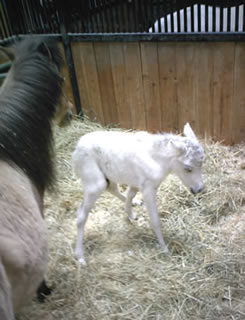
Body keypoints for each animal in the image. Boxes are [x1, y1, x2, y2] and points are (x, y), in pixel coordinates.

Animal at [72, 122, 205, 264]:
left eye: (202, 163)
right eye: (188, 169)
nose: (198, 189)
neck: (159, 160)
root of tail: (76, 148)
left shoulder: (137, 182)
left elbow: (130, 194)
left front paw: (130, 213)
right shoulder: (148, 188)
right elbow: (155, 220)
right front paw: (164, 248)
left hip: (108, 174)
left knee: (112, 188)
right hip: (94, 181)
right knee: (81, 214)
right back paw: (80, 256)